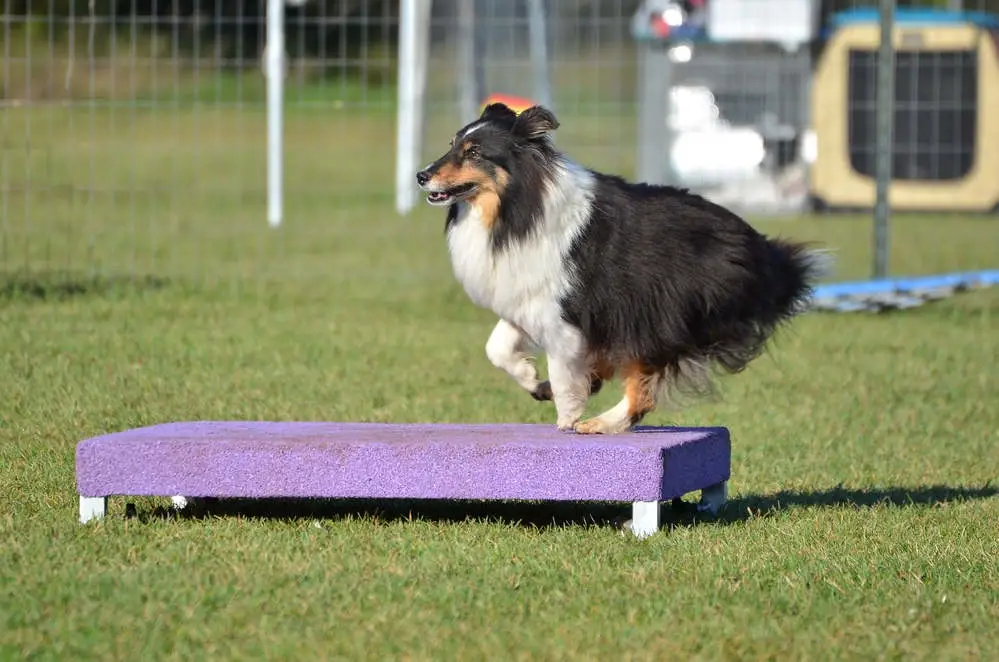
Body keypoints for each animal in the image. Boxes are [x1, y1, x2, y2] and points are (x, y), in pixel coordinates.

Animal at [414, 102, 828, 436]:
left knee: (642, 391)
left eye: (474, 152)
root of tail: (762, 250)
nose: (421, 175)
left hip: (659, 314)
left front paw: (567, 417)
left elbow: (563, 372)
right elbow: (496, 348)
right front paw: (533, 379)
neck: (516, 207)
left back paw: (600, 422)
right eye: (452, 144)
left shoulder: (567, 312)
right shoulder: (531, 298)